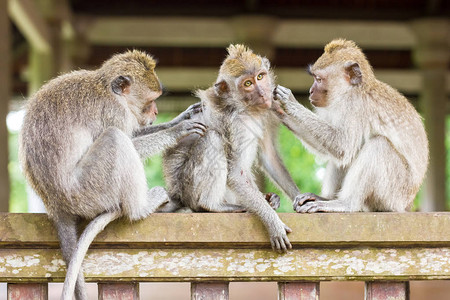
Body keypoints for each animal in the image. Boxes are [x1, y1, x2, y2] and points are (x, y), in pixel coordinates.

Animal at [18, 50, 207, 298]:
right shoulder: (114, 112)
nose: (156, 111)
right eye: (150, 100)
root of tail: (55, 204)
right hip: (89, 190)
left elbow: (134, 133)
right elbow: (128, 138)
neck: (107, 89)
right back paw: (141, 208)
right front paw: (176, 131)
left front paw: (181, 117)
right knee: (115, 139)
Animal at [162, 44, 302, 251]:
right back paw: (212, 205)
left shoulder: (268, 111)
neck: (247, 109)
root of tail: (176, 195)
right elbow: (236, 173)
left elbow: (269, 156)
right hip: (190, 190)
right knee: (213, 139)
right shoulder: (237, 125)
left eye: (260, 76)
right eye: (247, 84)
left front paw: (302, 198)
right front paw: (272, 221)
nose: (263, 93)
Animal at [274, 39, 428, 213]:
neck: (351, 89)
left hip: (394, 195)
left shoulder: (354, 104)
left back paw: (346, 203)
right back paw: (327, 198)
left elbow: (342, 146)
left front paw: (289, 102)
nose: (310, 91)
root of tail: (408, 205)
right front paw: (278, 110)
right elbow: (333, 149)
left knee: (378, 145)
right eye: (314, 78)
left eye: (318, 79)